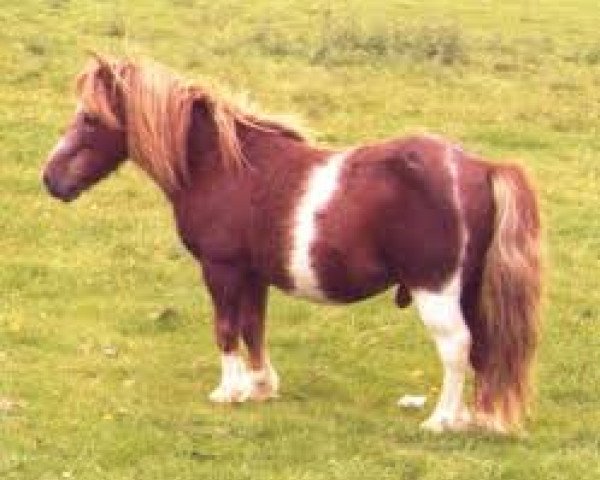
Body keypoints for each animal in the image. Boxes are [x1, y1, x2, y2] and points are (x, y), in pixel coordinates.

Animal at [39, 54, 540, 434]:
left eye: (90, 117)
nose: (51, 179)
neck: (223, 165)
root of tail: (479, 167)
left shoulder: (221, 269)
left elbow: (226, 329)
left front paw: (229, 391)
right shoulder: (252, 274)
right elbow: (253, 328)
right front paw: (260, 387)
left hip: (435, 289)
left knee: (456, 346)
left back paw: (441, 420)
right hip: (470, 289)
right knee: (482, 347)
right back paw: (474, 418)